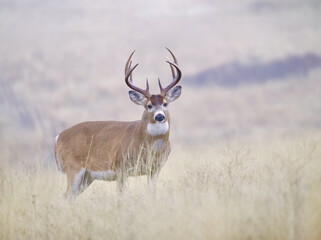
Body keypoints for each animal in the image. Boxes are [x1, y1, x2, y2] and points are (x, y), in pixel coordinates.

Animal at [53, 47, 181, 199]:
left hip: (87, 176)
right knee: (66, 195)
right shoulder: (121, 167)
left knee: (70, 196)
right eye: (148, 105)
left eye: (165, 104)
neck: (149, 146)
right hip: (73, 167)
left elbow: (152, 191)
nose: (160, 116)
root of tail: (58, 137)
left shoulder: (155, 169)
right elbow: (121, 195)